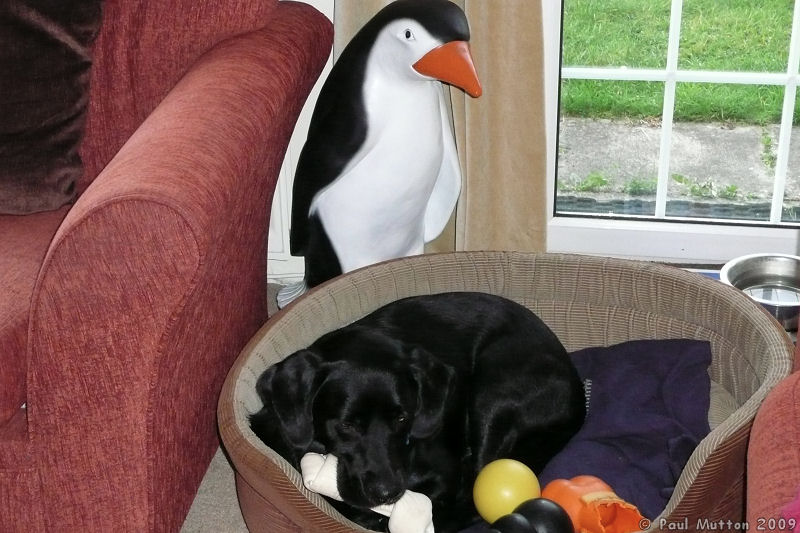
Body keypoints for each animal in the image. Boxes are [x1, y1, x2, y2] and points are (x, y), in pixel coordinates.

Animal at [252, 294, 588, 528]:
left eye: (402, 419)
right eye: (346, 426)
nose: (387, 494)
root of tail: (578, 398)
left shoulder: (443, 473)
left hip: (494, 398)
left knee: (473, 492)